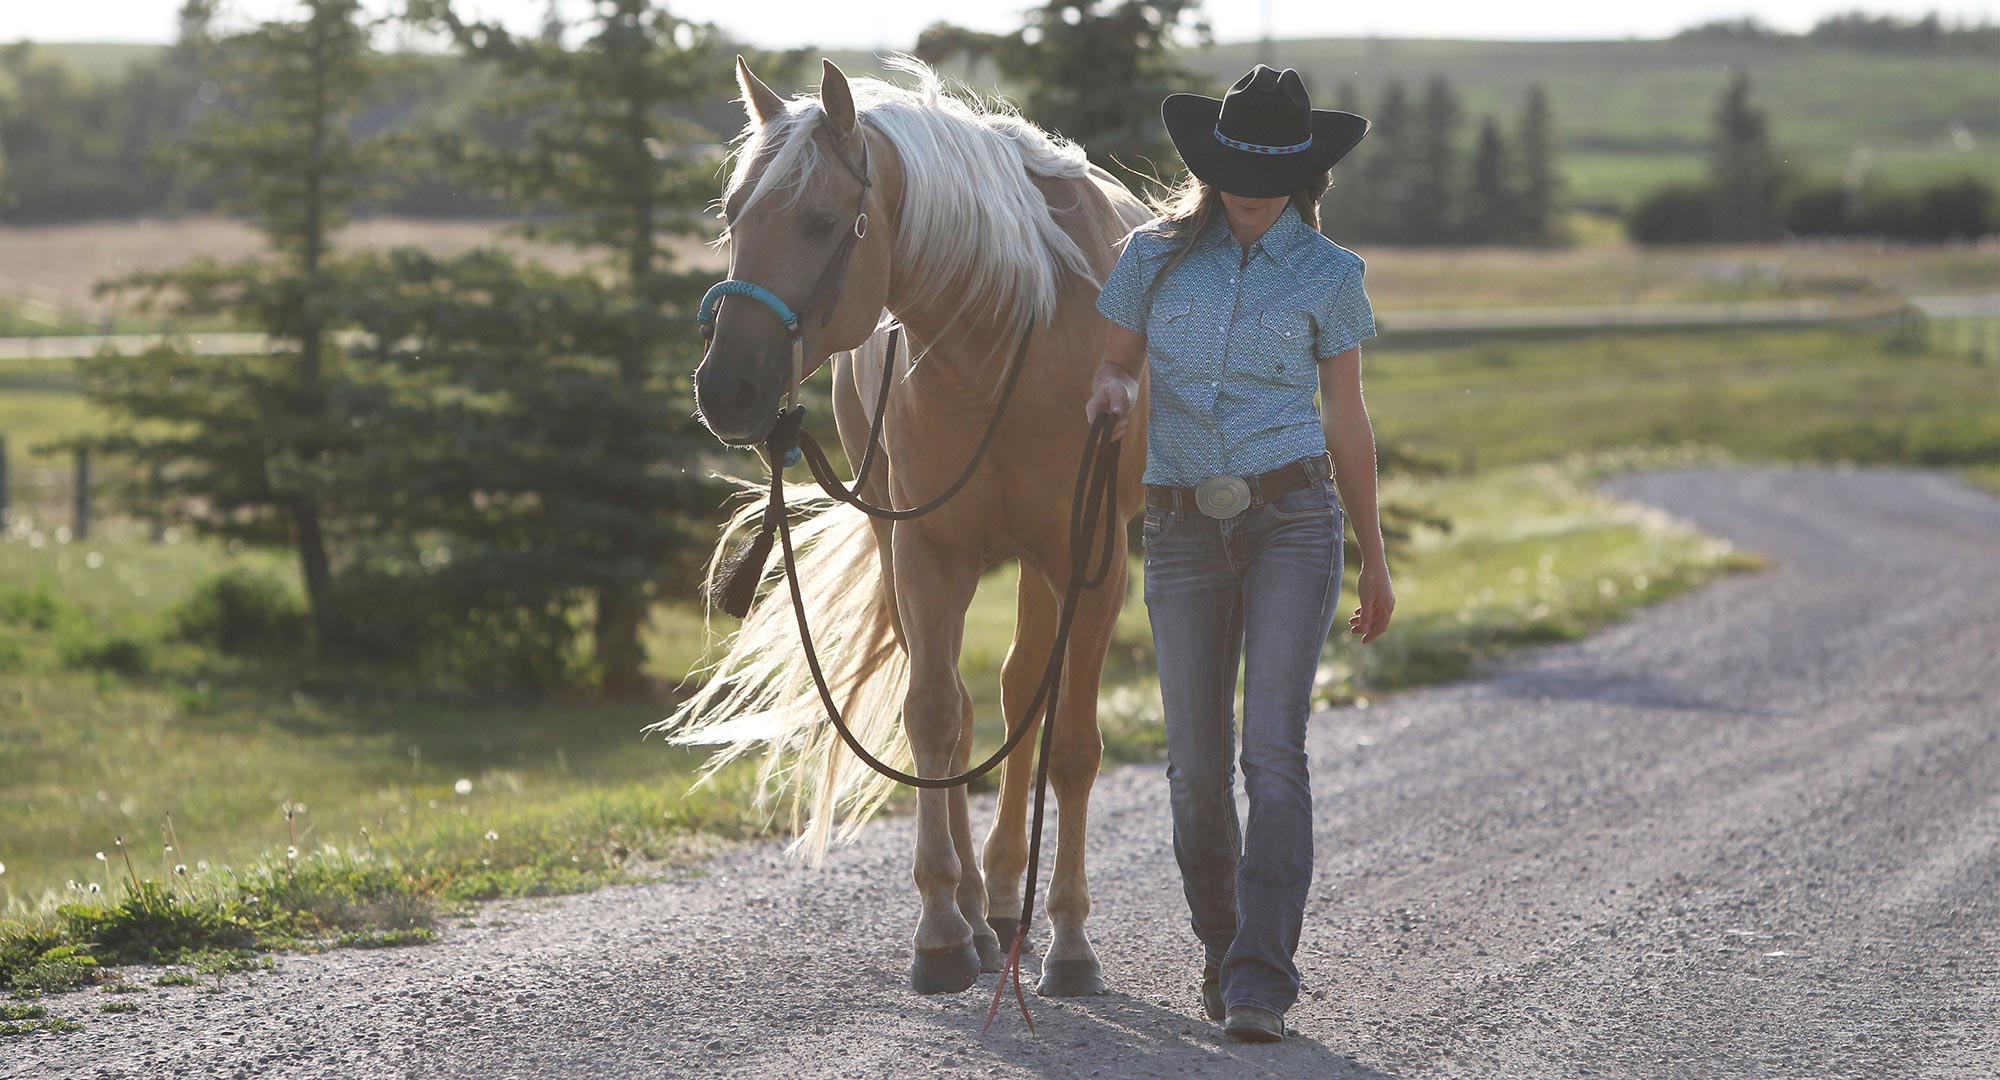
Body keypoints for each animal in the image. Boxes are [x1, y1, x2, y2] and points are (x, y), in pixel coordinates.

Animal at [656, 50, 1152, 996]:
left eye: (821, 222)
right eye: (733, 216)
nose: (726, 388)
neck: (1009, 341)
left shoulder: (1091, 560)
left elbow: (1072, 742)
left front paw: (1071, 941)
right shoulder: (927, 551)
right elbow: (933, 716)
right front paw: (942, 930)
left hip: (1044, 568)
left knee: (1022, 696)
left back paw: (1010, 902)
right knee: (963, 703)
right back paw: (982, 916)